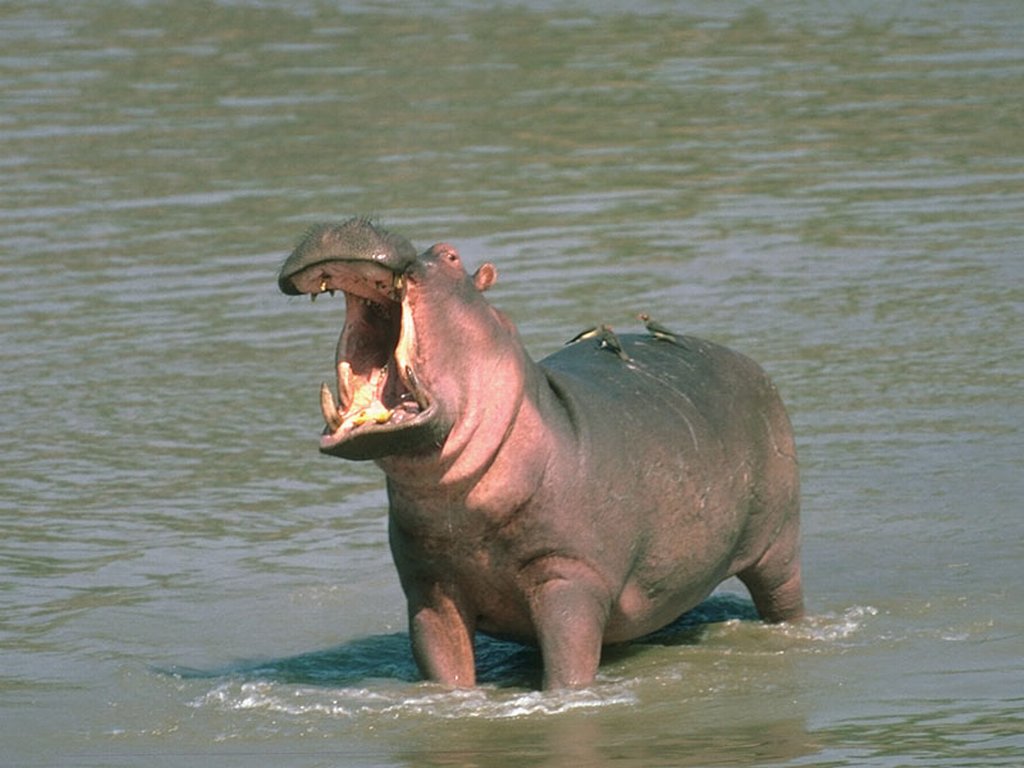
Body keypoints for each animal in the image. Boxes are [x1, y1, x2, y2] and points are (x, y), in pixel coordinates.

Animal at [278, 218, 804, 690]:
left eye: (450, 255)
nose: (342, 223)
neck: (454, 497)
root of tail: (747, 361)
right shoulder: (430, 586)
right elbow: (445, 667)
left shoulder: (568, 575)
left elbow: (568, 667)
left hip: (779, 543)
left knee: (782, 594)